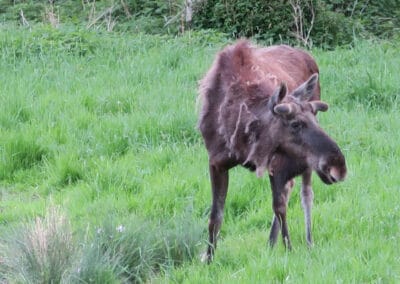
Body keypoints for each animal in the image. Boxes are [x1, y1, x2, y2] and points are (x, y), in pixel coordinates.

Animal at [198, 40, 346, 262]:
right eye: (295, 124)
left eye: (313, 117)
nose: (338, 165)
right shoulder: (216, 162)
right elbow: (215, 216)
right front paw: (209, 258)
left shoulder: (277, 162)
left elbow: (279, 206)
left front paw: (289, 249)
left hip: (305, 163)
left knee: (305, 193)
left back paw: (307, 241)